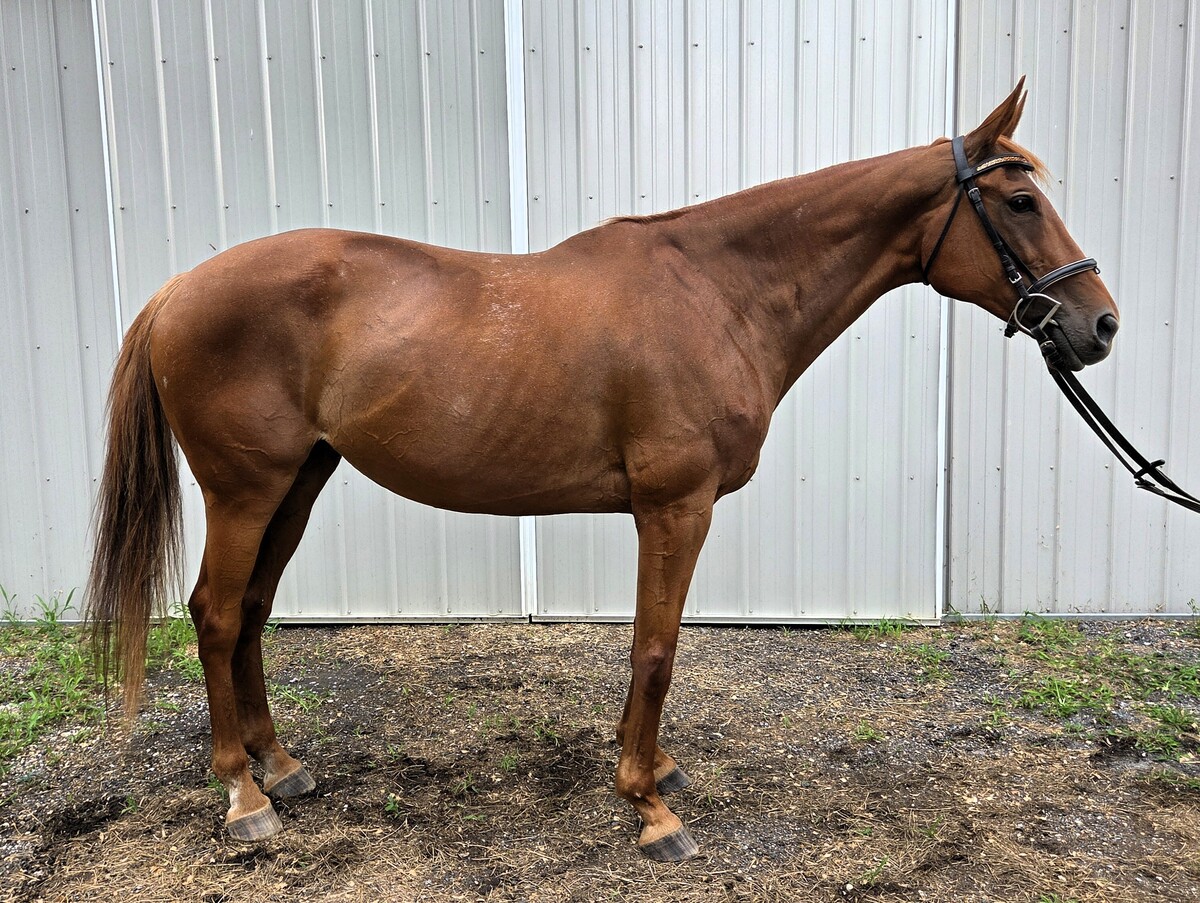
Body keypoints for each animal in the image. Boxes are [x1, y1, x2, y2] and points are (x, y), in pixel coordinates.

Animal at [86, 81, 1119, 861]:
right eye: (1020, 202)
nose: (1099, 325)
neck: (717, 293)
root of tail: (178, 290)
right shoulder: (674, 506)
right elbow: (654, 650)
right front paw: (650, 806)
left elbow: (653, 649)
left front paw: (651, 772)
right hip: (245, 489)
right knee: (217, 614)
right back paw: (243, 796)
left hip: (300, 479)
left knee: (253, 610)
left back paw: (282, 766)